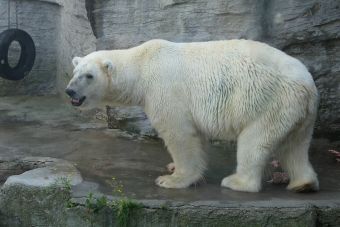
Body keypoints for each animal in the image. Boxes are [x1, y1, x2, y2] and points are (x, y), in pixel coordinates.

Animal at [65, 39, 318, 192]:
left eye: (89, 76)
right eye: (74, 72)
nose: (70, 91)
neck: (142, 66)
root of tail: (307, 83)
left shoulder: (165, 92)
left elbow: (180, 135)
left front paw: (171, 179)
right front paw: (172, 168)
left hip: (269, 102)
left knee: (255, 142)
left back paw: (236, 181)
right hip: (295, 110)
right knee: (294, 146)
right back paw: (303, 183)